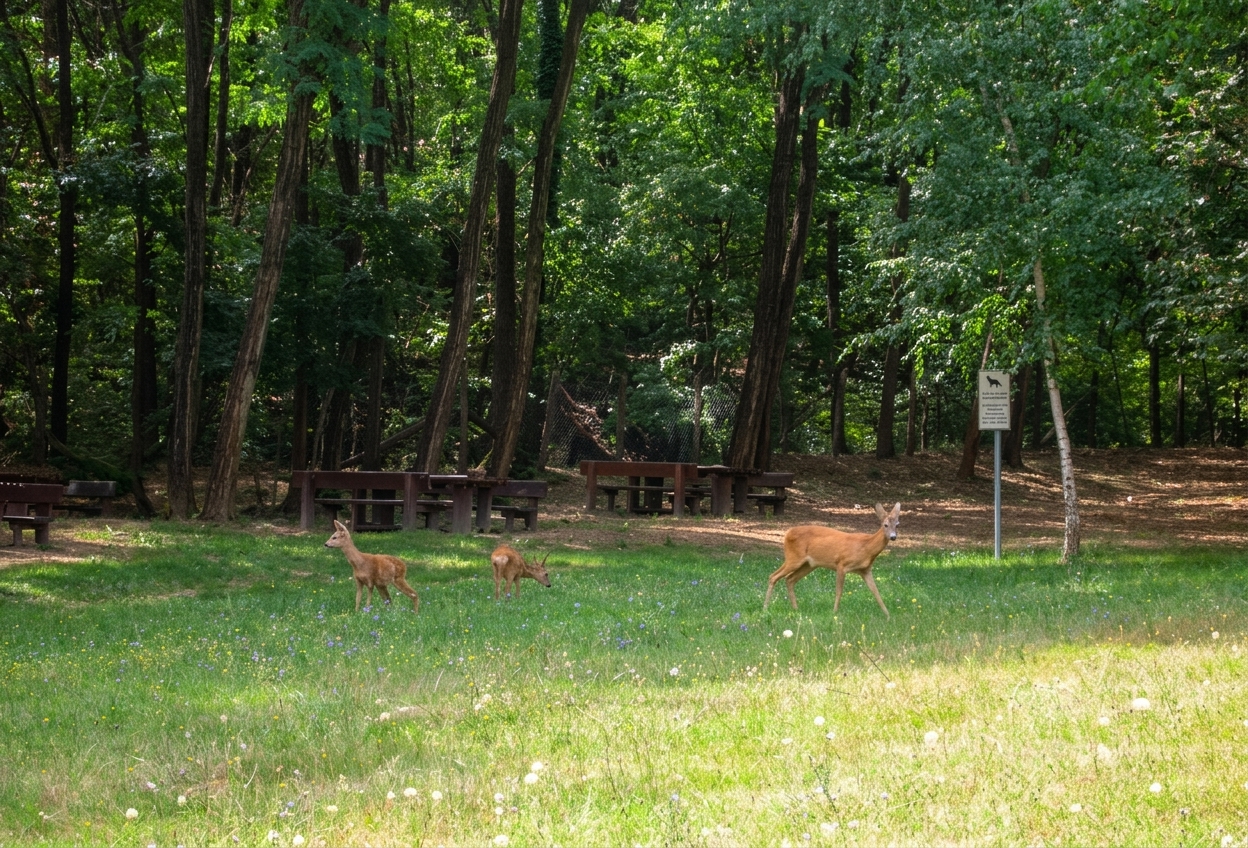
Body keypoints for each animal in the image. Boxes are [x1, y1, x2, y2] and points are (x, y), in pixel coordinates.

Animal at [763, 502, 901, 617]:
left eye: (897, 525)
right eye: (885, 525)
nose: (893, 537)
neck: (866, 548)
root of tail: (787, 533)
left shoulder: (865, 570)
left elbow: (876, 592)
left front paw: (888, 615)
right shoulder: (842, 564)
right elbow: (839, 591)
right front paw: (834, 612)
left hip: (809, 565)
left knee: (790, 579)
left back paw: (795, 609)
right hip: (793, 558)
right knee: (773, 576)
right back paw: (765, 608)